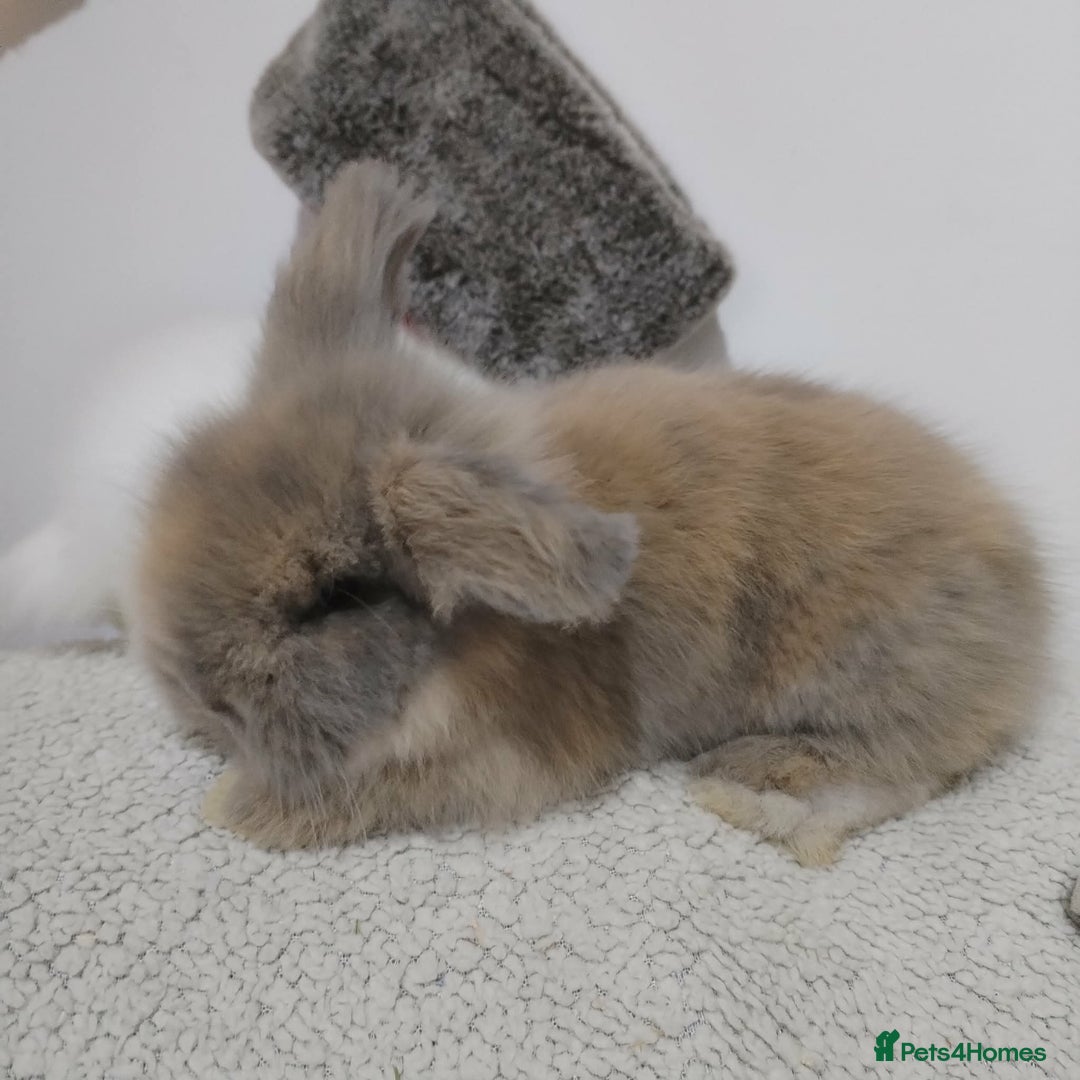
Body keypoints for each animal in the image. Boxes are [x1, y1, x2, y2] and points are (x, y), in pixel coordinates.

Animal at [132, 160, 1049, 865]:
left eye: (337, 598)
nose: (202, 700)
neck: (469, 647)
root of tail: (1029, 599)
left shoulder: (502, 762)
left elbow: (380, 789)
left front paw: (234, 804)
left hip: (858, 665)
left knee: (905, 769)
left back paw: (750, 791)